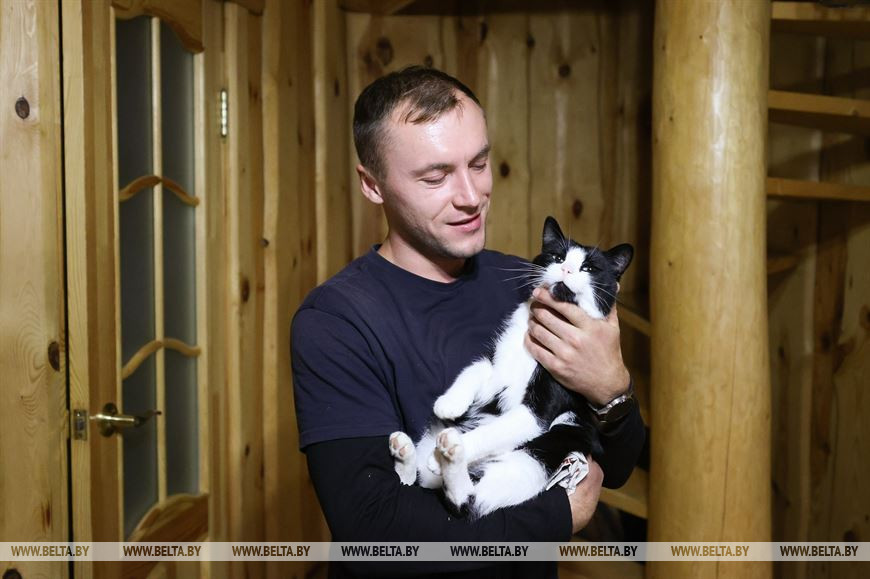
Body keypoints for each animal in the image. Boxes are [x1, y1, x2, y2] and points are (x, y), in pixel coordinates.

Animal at [389, 216, 634, 518]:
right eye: (557, 256)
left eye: (589, 268)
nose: (565, 268)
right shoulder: (498, 360)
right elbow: (478, 367)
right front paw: (450, 403)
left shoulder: (537, 412)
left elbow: (494, 431)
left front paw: (447, 452)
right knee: (417, 482)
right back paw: (404, 453)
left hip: (548, 446)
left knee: (466, 500)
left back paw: (448, 452)